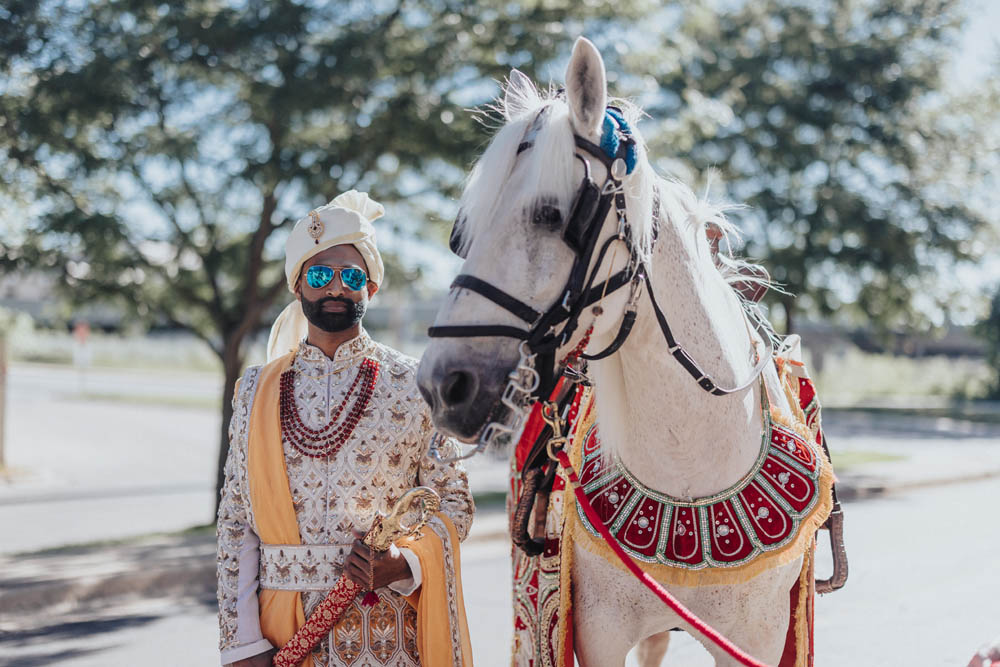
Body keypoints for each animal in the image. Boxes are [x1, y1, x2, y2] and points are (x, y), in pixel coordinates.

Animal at [418, 37, 808, 667]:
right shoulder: (598, 632)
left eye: (553, 215)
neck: (686, 471)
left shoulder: (757, 640)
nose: (440, 385)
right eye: (461, 235)